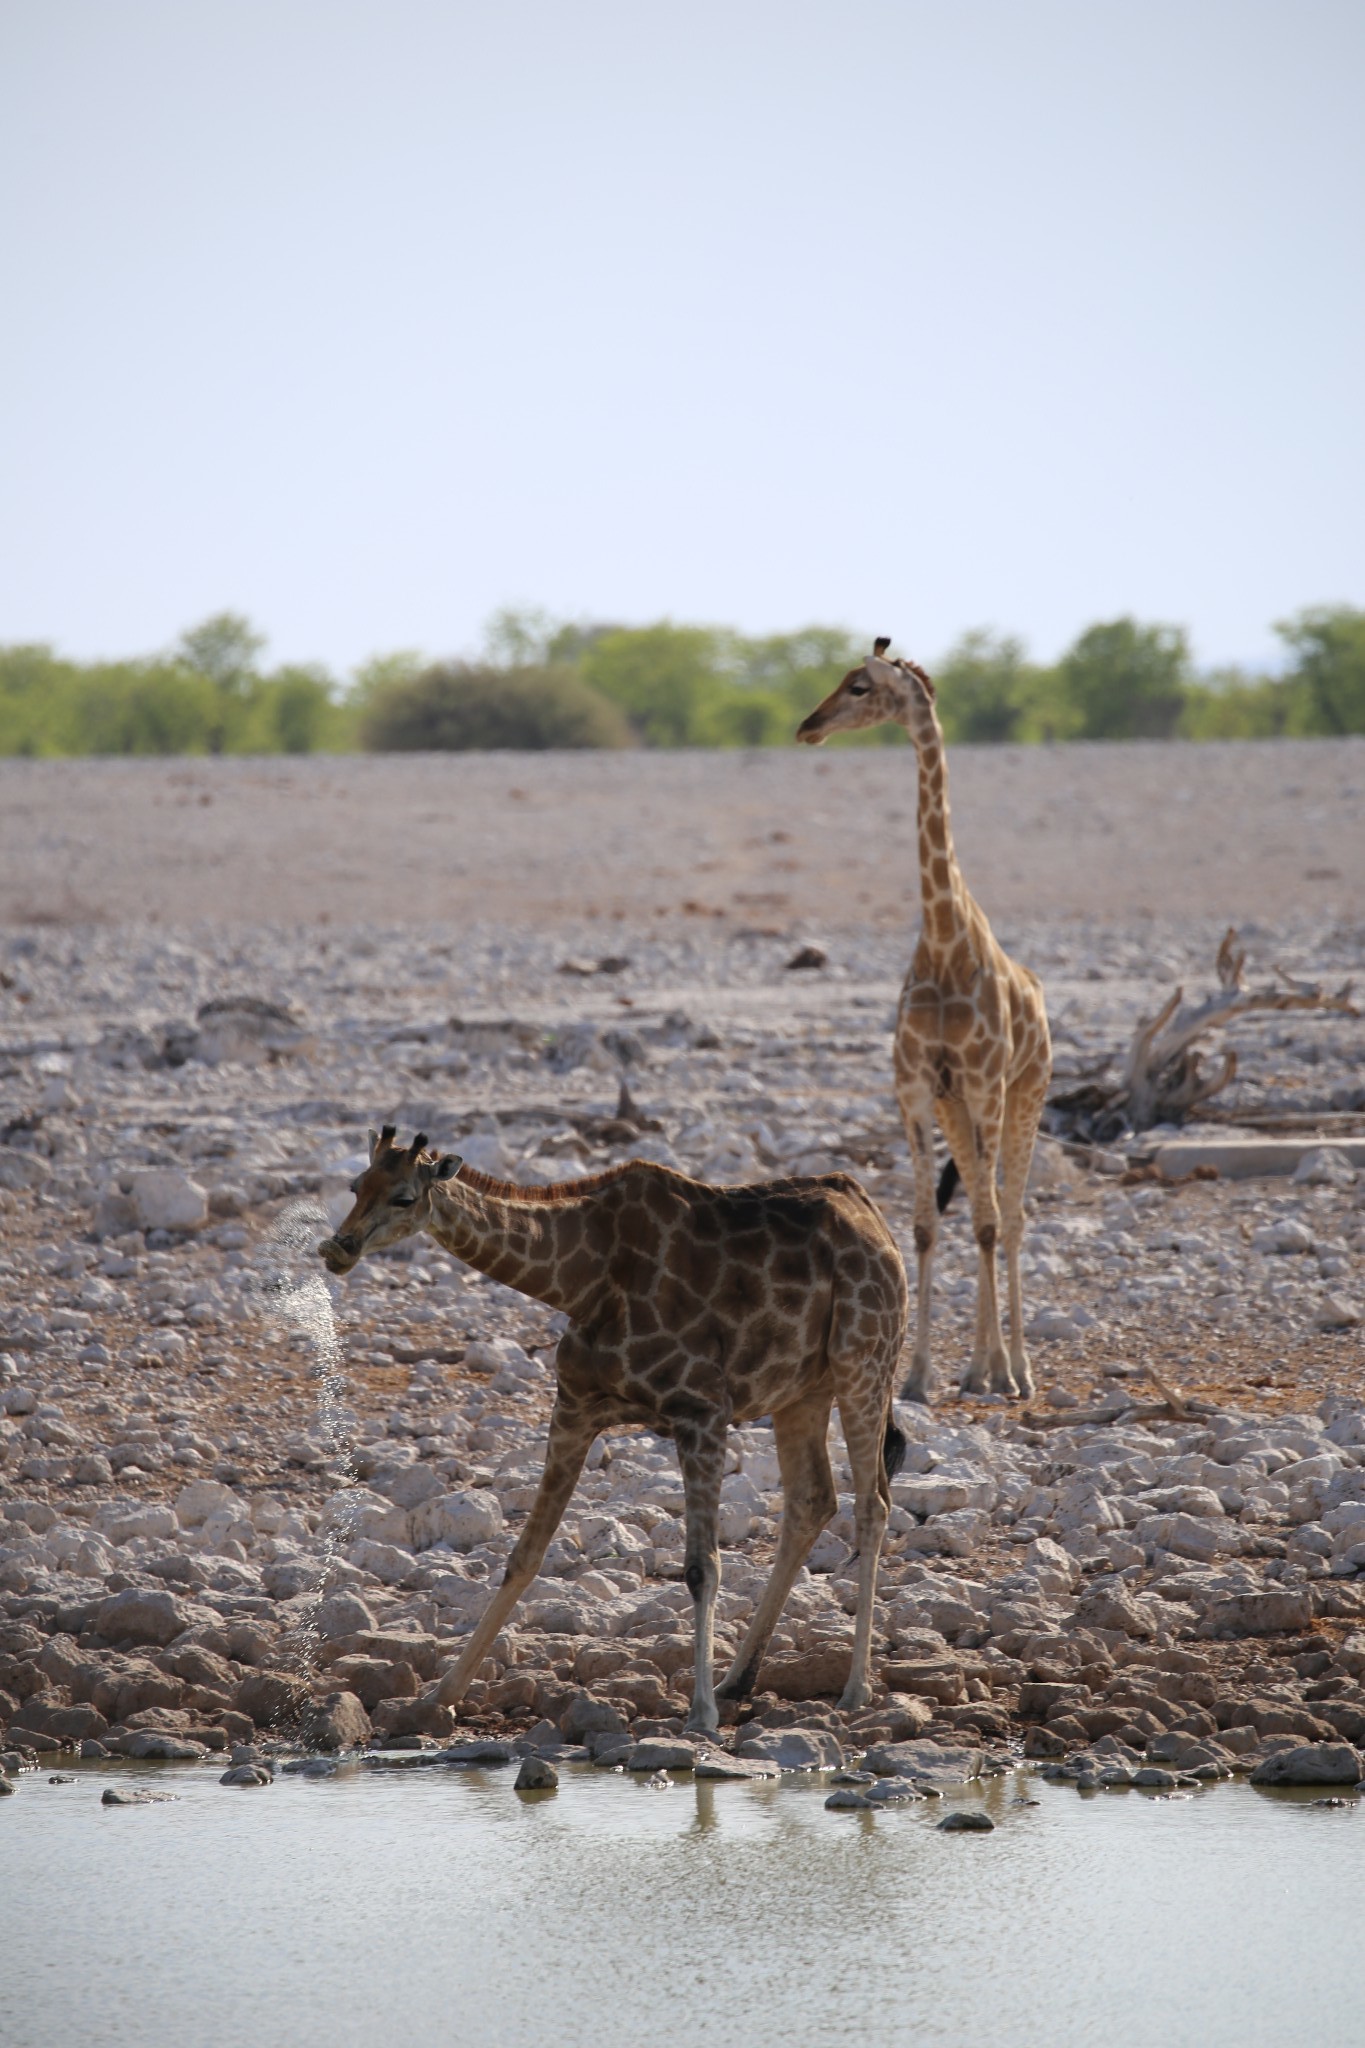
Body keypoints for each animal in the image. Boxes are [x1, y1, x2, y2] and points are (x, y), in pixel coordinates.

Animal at [319, 1130, 908, 1736]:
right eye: (356, 1185)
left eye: (405, 1198)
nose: (339, 1249)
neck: (583, 1282)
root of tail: (872, 1215)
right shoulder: (575, 1407)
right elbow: (524, 1556)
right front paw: (437, 1697)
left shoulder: (702, 1410)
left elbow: (702, 1566)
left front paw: (699, 1715)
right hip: (801, 1391)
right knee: (812, 1501)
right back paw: (737, 1681)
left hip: (864, 1359)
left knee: (873, 1505)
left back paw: (854, 1689)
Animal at [794, 638, 1055, 1409]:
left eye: (859, 686)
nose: (808, 726)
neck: (942, 939)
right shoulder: (915, 1088)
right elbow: (923, 1225)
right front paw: (915, 1376)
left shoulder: (986, 1086)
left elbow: (990, 1221)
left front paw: (993, 1370)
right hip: (956, 1108)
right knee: (978, 1208)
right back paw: (987, 1364)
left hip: (1023, 1094)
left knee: (1010, 1215)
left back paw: (1016, 1369)